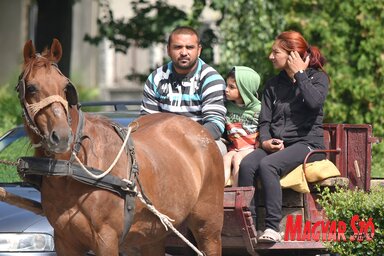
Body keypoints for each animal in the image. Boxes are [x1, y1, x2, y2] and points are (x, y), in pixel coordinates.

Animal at [15, 38, 225, 256]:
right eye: (31, 88)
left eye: (65, 87)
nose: (62, 136)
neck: (72, 167)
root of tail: (199, 131)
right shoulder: (64, 240)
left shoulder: (106, 239)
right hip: (153, 234)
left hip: (209, 225)